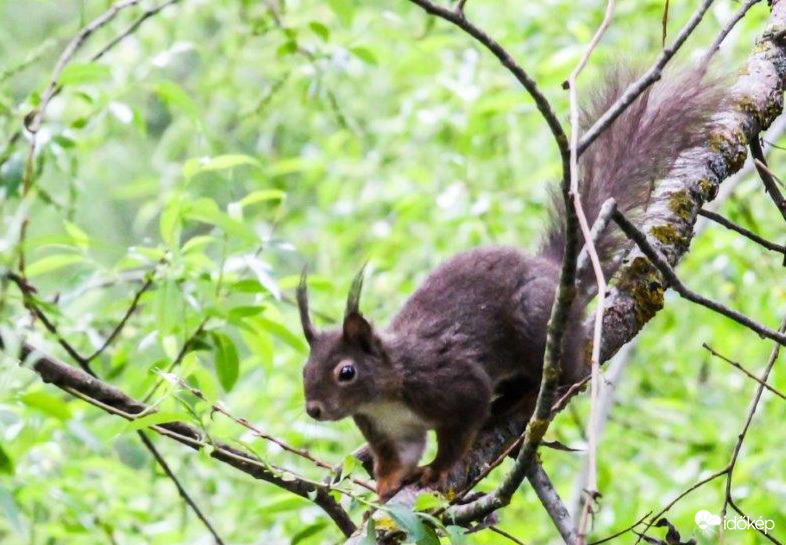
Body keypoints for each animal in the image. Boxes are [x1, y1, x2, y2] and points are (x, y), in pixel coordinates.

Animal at [298, 69, 720, 502]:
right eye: (306, 368)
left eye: (346, 372)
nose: (313, 408)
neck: (386, 394)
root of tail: (555, 273)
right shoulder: (391, 428)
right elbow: (399, 455)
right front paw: (386, 485)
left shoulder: (451, 383)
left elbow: (460, 429)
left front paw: (437, 470)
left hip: (536, 326)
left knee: (564, 374)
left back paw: (522, 400)